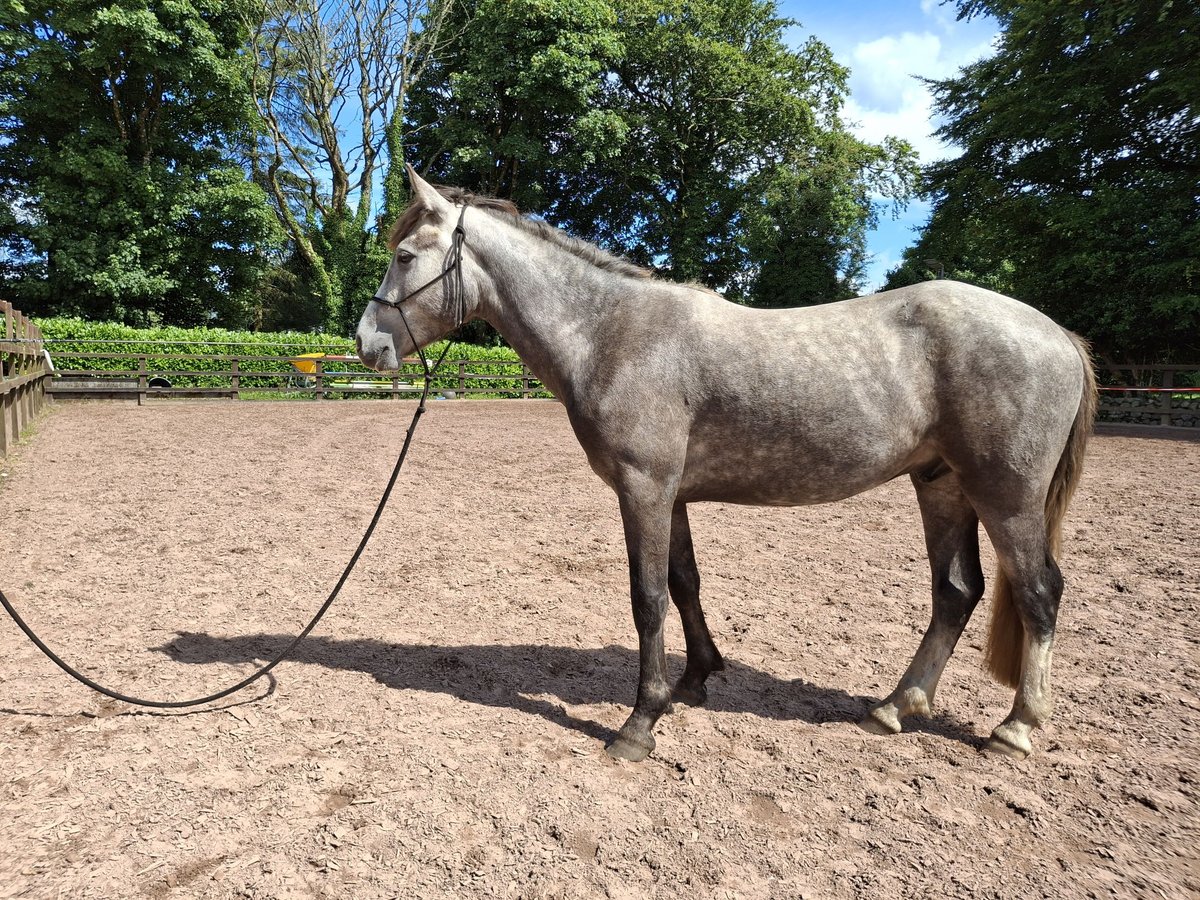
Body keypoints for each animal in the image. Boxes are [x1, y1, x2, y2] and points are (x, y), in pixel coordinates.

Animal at [350, 168, 1094, 763]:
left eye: (405, 255)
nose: (366, 344)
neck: (611, 332)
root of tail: (1058, 335)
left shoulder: (644, 489)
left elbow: (648, 598)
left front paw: (640, 723)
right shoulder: (671, 494)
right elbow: (685, 585)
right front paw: (696, 678)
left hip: (1006, 497)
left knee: (1038, 593)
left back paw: (1017, 727)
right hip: (941, 485)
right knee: (956, 592)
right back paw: (895, 707)